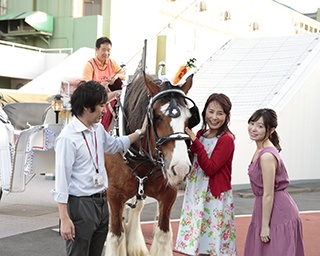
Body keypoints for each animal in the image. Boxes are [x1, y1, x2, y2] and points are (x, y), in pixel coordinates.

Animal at [104, 72, 199, 256]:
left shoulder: (168, 194)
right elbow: (115, 235)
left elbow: (163, 234)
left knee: (137, 207)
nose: (181, 169)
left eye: (189, 118)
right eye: (157, 117)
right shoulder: (114, 193)